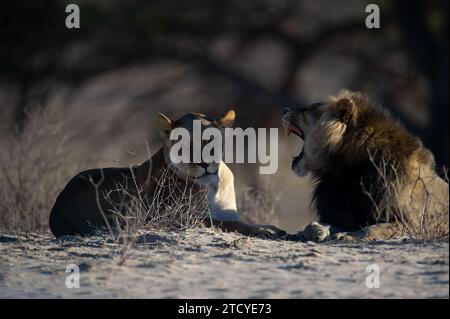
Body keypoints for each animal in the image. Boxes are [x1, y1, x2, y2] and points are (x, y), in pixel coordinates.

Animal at [48, 110, 282, 238]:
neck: (213, 185)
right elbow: (226, 224)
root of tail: (57, 203)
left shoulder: (227, 212)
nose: (205, 163)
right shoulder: (177, 219)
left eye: (211, 141)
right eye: (186, 145)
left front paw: (273, 229)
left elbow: (247, 222)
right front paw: (265, 233)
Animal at [284, 90, 448, 242]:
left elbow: (373, 228)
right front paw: (318, 231)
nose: (285, 109)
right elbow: (313, 224)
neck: (347, 173)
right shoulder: (341, 214)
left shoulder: (412, 223)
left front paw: (346, 236)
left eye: (311, 108)